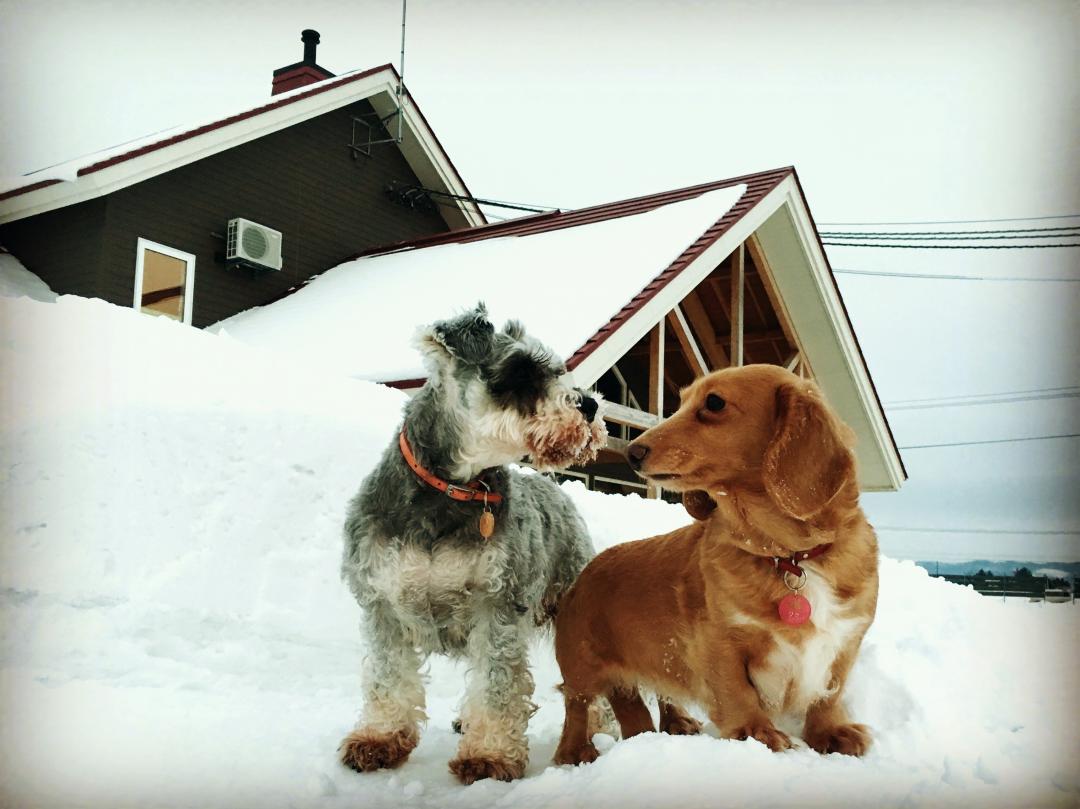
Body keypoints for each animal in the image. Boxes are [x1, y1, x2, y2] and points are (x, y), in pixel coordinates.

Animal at [339, 302, 609, 781]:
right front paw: (378, 740)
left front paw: (487, 757)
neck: (452, 489)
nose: (591, 405)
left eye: (558, 370)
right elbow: (388, 679)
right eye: (520, 372)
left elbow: (496, 684)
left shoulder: (496, 605)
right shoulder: (382, 604)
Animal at [557, 362, 876, 760]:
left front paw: (831, 732)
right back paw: (574, 752)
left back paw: (672, 724)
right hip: (581, 664)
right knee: (577, 705)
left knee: (649, 697)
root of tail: (585, 571)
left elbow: (828, 694)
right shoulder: (718, 641)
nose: (631, 451)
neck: (788, 557)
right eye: (680, 401)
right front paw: (756, 732)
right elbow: (737, 692)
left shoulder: (844, 641)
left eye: (714, 403)